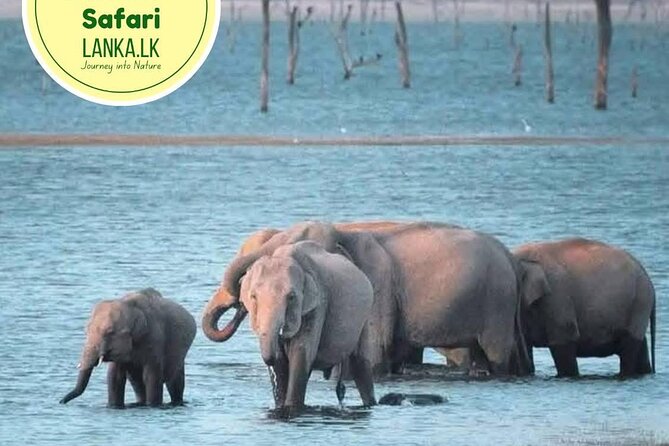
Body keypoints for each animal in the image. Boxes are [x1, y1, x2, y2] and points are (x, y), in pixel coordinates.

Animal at [60, 288, 196, 408]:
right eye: (86, 331)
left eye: (109, 332)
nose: (61, 401)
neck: (129, 305)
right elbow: (114, 377)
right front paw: (113, 406)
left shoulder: (155, 339)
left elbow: (151, 377)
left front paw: (153, 405)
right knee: (138, 384)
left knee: (174, 383)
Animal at [203, 221, 533, 377]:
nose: (240, 304)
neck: (343, 233)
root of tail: (511, 259)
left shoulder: (376, 287)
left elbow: (374, 352)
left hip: (497, 304)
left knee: (497, 353)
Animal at [239, 240, 376, 410]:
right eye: (253, 296)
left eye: (291, 297)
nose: (269, 360)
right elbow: (281, 361)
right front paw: (280, 405)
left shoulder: (318, 305)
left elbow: (301, 352)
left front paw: (292, 407)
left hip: (365, 315)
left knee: (360, 363)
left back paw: (370, 404)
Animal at [515, 238, 656, 377]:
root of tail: (649, 280)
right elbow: (525, 346)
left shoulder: (557, 296)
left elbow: (564, 339)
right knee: (641, 348)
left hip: (640, 303)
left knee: (629, 347)